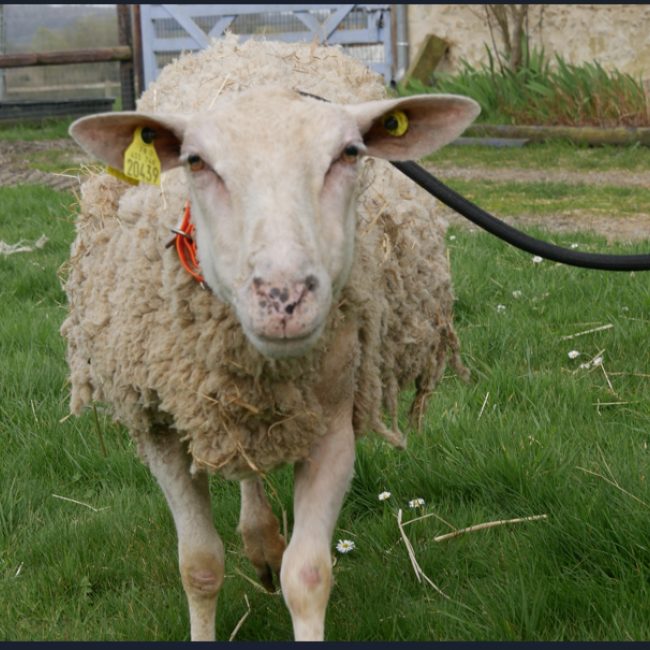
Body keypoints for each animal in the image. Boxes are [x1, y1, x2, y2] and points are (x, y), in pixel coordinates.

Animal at [61, 35, 480, 641]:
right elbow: (199, 567)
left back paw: (262, 542)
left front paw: (288, 573)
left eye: (349, 153)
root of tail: (253, 40)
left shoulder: (332, 423)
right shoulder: (160, 425)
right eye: (196, 161)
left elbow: (306, 576)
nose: (283, 297)